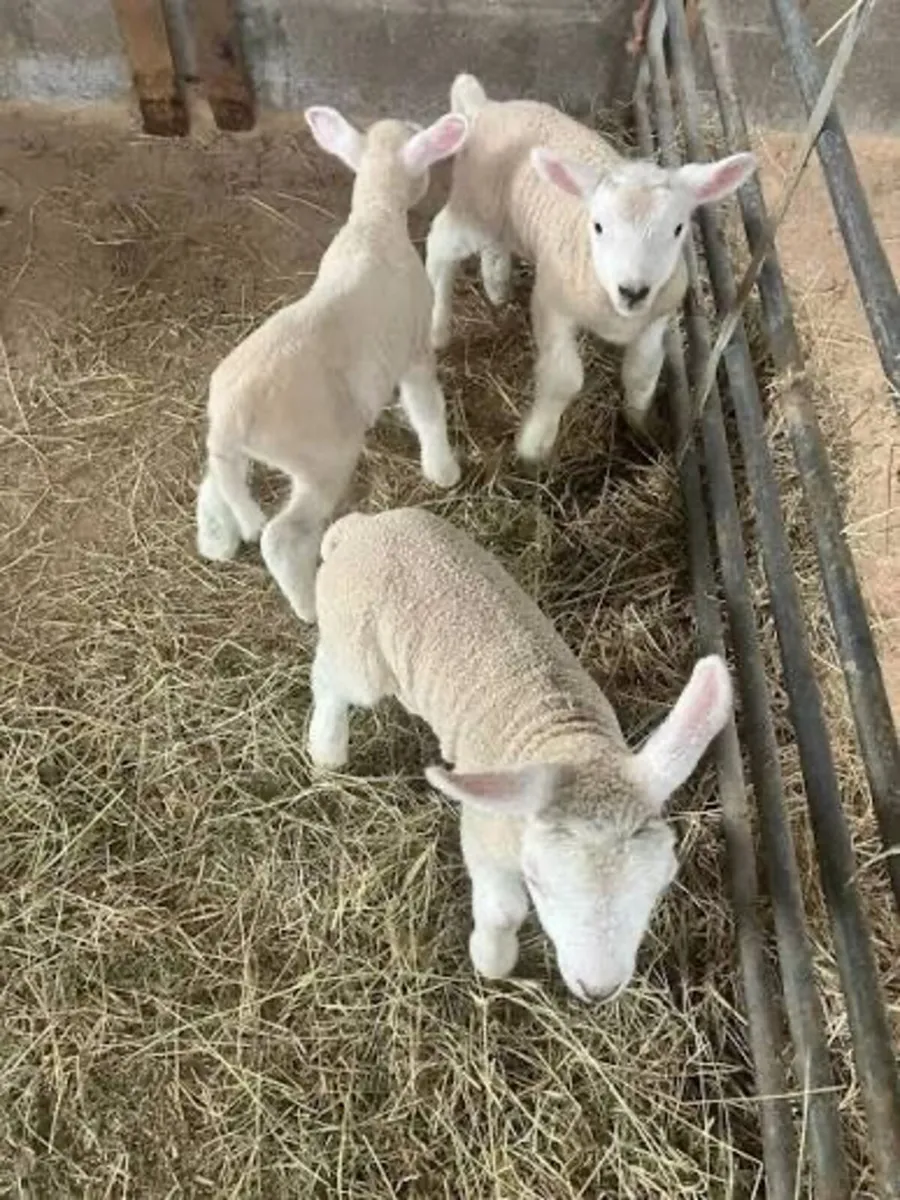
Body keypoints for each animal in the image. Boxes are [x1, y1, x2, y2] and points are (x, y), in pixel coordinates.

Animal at [195, 105, 469, 621]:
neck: (374, 218)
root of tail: (230, 418)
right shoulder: (413, 350)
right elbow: (428, 408)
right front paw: (443, 470)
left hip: (241, 453)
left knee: (213, 483)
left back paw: (217, 540)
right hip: (323, 457)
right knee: (281, 538)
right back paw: (309, 608)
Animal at [307, 507, 733, 1001]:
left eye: (663, 881)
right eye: (538, 883)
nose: (598, 990)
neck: (572, 745)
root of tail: (359, 527)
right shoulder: (483, 834)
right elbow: (504, 910)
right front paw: (492, 961)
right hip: (358, 652)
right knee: (329, 676)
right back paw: (327, 747)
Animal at [425, 74, 756, 459]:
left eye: (678, 229)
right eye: (597, 226)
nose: (633, 291)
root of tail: (486, 107)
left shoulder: (656, 319)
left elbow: (642, 373)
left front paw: (640, 426)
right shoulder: (552, 305)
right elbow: (564, 378)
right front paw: (535, 445)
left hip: (502, 218)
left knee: (494, 245)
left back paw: (497, 286)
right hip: (473, 206)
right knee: (439, 244)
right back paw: (437, 326)